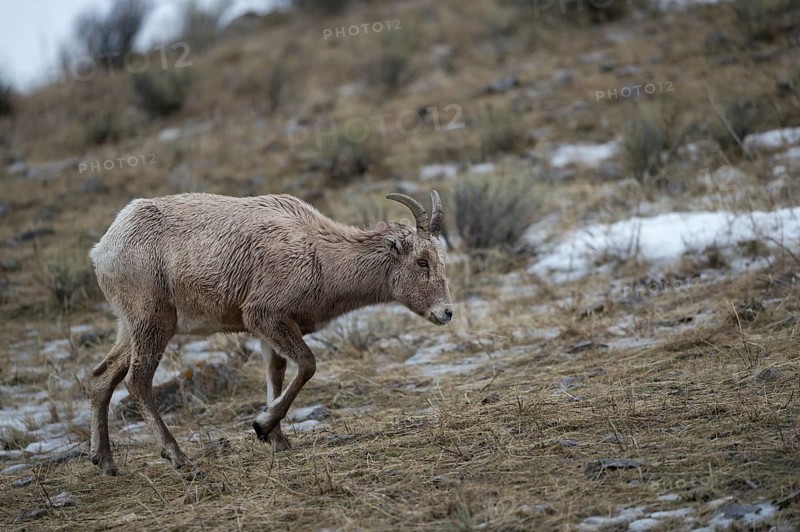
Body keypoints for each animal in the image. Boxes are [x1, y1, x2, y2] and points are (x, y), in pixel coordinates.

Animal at [87, 191, 453, 475]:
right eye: (422, 261)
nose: (446, 312)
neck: (319, 253)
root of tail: (103, 249)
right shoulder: (266, 317)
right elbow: (307, 364)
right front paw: (262, 426)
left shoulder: (269, 332)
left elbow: (275, 374)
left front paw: (277, 439)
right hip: (152, 322)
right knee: (137, 381)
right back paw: (178, 458)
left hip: (131, 328)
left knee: (102, 377)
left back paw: (105, 463)